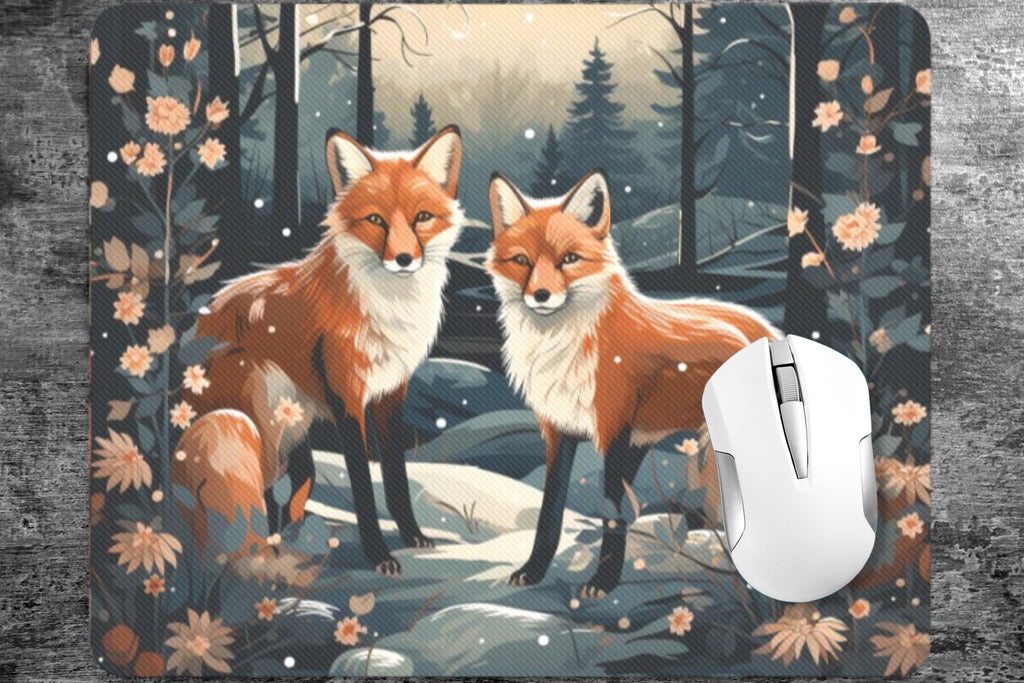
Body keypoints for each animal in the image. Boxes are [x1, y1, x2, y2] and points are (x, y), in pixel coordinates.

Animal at [171, 125, 465, 575]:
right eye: (376, 220)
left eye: (422, 218)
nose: (403, 259)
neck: (389, 307)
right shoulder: (348, 397)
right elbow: (362, 484)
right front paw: (378, 555)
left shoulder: (390, 393)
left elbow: (396, 477)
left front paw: (413, 536)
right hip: (259, 406)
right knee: (257, 494)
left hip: (296, 426)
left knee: (292, 483)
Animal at [486, 169, 780, 597]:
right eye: (522, 261)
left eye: (569, 259)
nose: (540, 295)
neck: (563, 347)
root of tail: (768, 329)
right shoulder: (561, 431)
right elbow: (549, 512)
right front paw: (533, 570)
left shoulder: (615, 431)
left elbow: (613, 512)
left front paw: (603, 582)